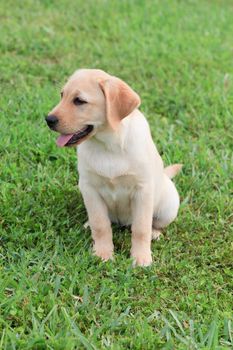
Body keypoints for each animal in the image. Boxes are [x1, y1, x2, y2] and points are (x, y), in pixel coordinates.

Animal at [46, 69, 182, 266]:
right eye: (62, 95)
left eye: (79, 101)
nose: (48, 119)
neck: (108, 144)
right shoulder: (89, 188)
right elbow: (100, 225)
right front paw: (102, 254)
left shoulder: (142, 190)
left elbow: (141, 228)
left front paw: (141, 258)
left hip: (168, 206)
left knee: (155, 223)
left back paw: (155, 233)